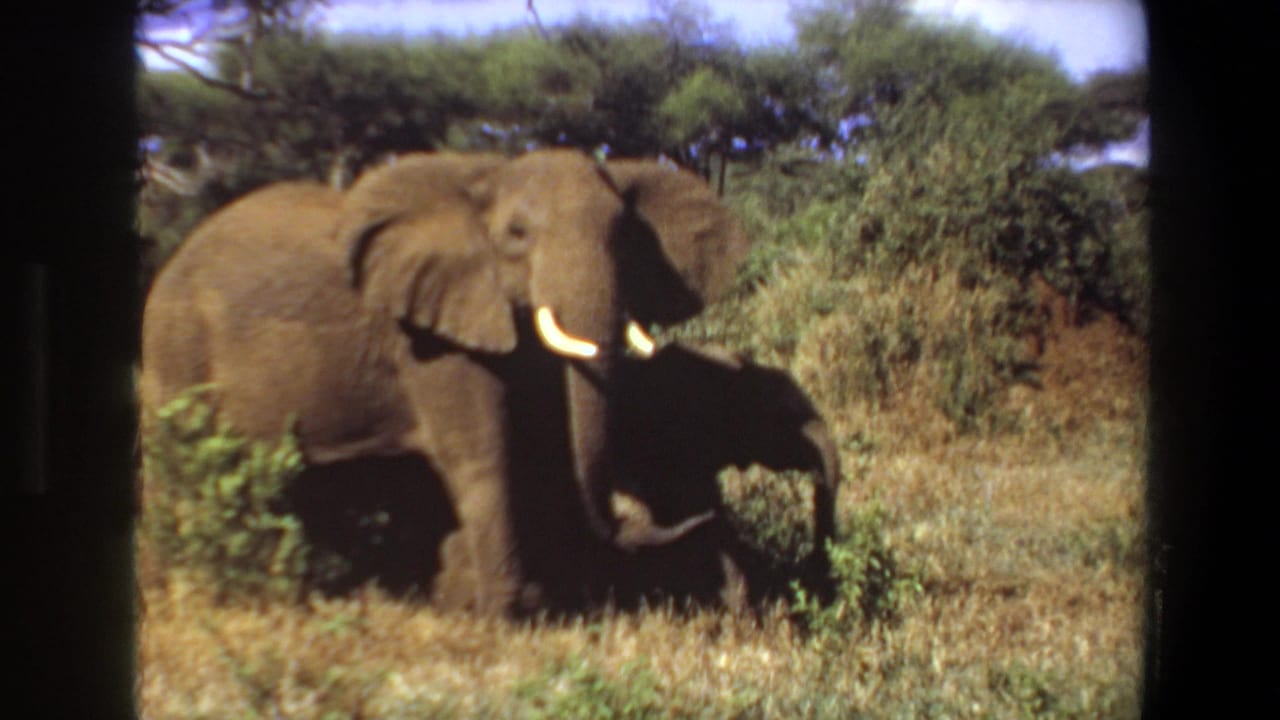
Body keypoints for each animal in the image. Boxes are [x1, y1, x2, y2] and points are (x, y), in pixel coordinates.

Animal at [139, 149, 751, 614]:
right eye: (517, 234)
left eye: (628, 237)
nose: (693, 517)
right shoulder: (428, 338)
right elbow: (484, 454)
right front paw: (508, 613)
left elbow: (540, 446)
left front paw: (486, 598)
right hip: (176, 344)